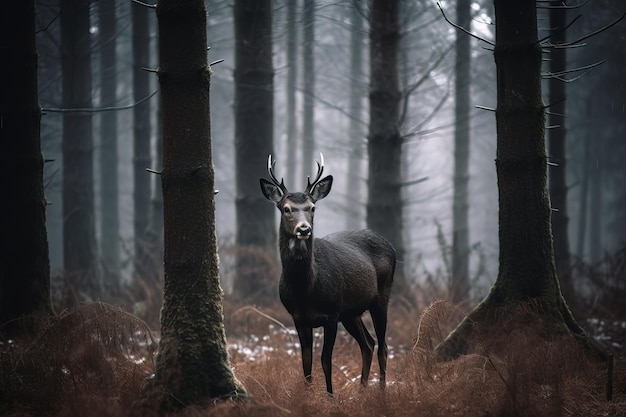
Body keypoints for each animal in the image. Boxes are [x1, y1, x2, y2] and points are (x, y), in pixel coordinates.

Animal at [260, 152, 394, 394]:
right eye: (286, 208)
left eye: (312, 207)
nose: (304, 229)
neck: (305, 291)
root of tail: (390, 245)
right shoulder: (298, 317)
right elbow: (306, 361)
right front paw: (307, 395)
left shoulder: (331, 313)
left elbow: (325, 360)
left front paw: (330, 396)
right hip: (351, 312)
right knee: (368, 343)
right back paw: (362, 390)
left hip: (381, 296)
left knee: (383, 345)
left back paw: (380, 392)